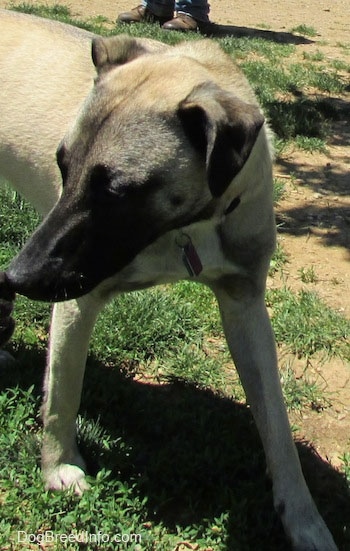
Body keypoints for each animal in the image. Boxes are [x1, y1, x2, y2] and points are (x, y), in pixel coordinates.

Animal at [0, 9, 340, 551]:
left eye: (115, 191)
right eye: (62, 165)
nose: (16, 276)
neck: (184, 227)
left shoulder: (245, 303)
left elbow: (277, 425)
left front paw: (305, 520)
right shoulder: (77, 299)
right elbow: (61, 395)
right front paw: (59, 468)